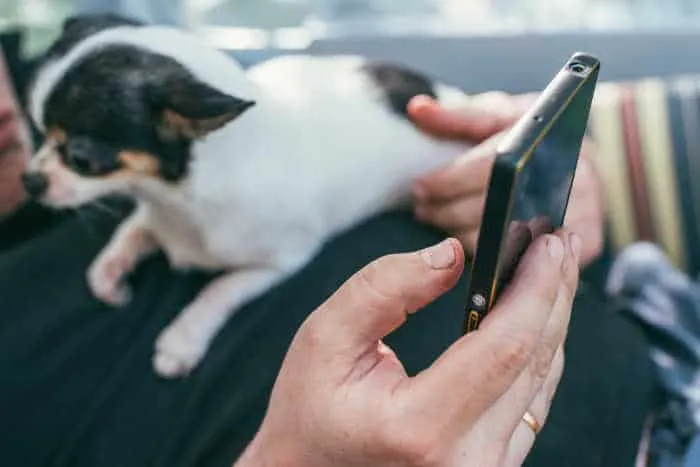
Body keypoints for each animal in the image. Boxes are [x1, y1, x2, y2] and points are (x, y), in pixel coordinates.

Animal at [21, 14, 470, 378]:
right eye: (38, 134)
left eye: (82, 157)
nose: (29, 181)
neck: (177, 203)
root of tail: (449, 96)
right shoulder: (156, 214)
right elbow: (131, 233)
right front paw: (108, 274)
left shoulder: (279, 262)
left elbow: (218, 290)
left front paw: (182, 339)